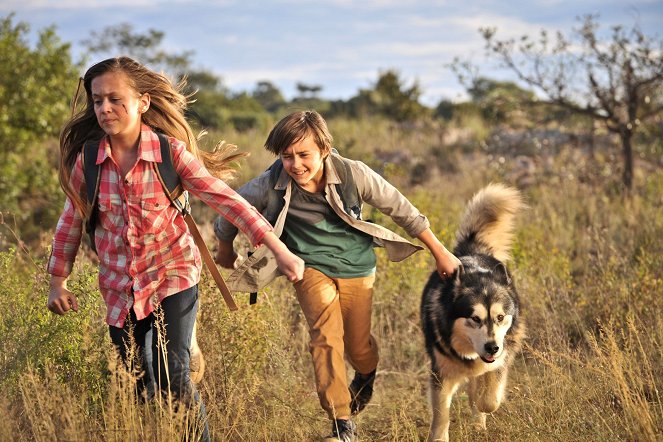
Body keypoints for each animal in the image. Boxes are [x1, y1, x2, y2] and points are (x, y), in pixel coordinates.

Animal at [422, 184, 528, 442]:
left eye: (500, 317)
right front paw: (439, 436)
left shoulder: (500, 360)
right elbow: (441, 414)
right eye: (474, 319)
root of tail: (472, 250)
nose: (492, 348)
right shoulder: (441, 371)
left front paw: (480, 407)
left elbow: (488, 399)